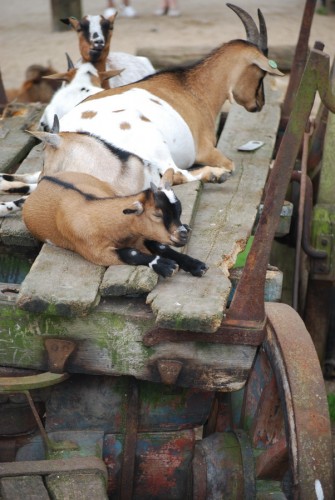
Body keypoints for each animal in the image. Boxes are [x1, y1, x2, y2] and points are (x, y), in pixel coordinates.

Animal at [21, 169, 207, 278]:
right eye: (157, 215)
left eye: (179, 211)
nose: (182, 235)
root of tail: (44, 178)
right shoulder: (95, 251)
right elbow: (130, 253)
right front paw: (165, 265)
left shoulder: (143, 235)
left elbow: (161, 247)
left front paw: (196, 265)